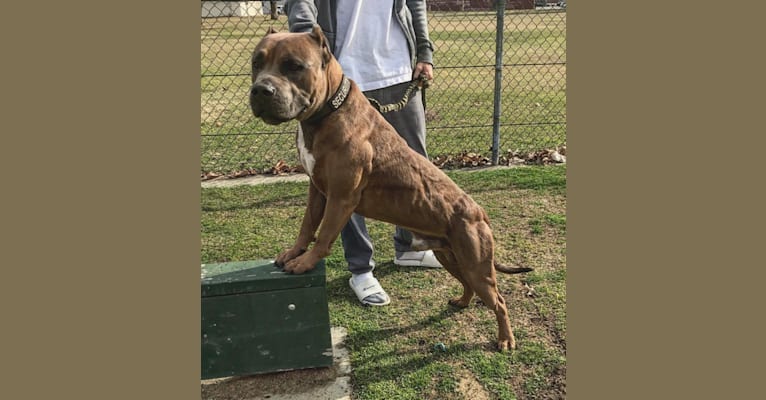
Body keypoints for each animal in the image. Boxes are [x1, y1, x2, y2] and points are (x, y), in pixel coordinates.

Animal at [249, 26, 532, 350]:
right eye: (256, 63)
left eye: (294, 66)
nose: (260, 90)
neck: (325, 114)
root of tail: (480, 213)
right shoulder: (318, 191)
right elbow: (307, 226)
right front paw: (295, 252)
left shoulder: (341, 198)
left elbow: (323, 237)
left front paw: (305, 262)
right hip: (452, 257)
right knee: (469, 285)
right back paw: (462, 301)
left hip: (477, 265)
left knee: (499, 301)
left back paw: (506, 339)